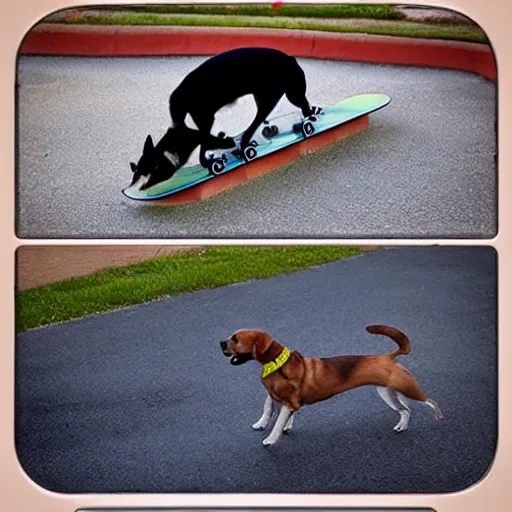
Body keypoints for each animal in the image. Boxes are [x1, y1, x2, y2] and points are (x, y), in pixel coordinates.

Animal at [129, 45, 320, 190]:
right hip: (265, 96)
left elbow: (205, 144)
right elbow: (205, 145)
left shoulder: (205, 122)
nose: (137, 188)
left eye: (151, 173)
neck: (179, 132)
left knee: (295, 110)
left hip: (283, 94)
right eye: (135, 174)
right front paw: (215, 155)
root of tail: (290, 58)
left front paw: (215, 155)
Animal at [218, 326, 442, 446]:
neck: (276, 363)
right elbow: (269, 408)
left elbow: (278, 421)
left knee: (428, 401)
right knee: (406, 410)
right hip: (388, 393)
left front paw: (271, 439)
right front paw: (263, 424)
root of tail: (389, 357)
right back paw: (401, 426)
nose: (220, 343)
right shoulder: (278, 398)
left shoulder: (290, 402)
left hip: (407, 389)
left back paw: (437, 415)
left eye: (235, 339)